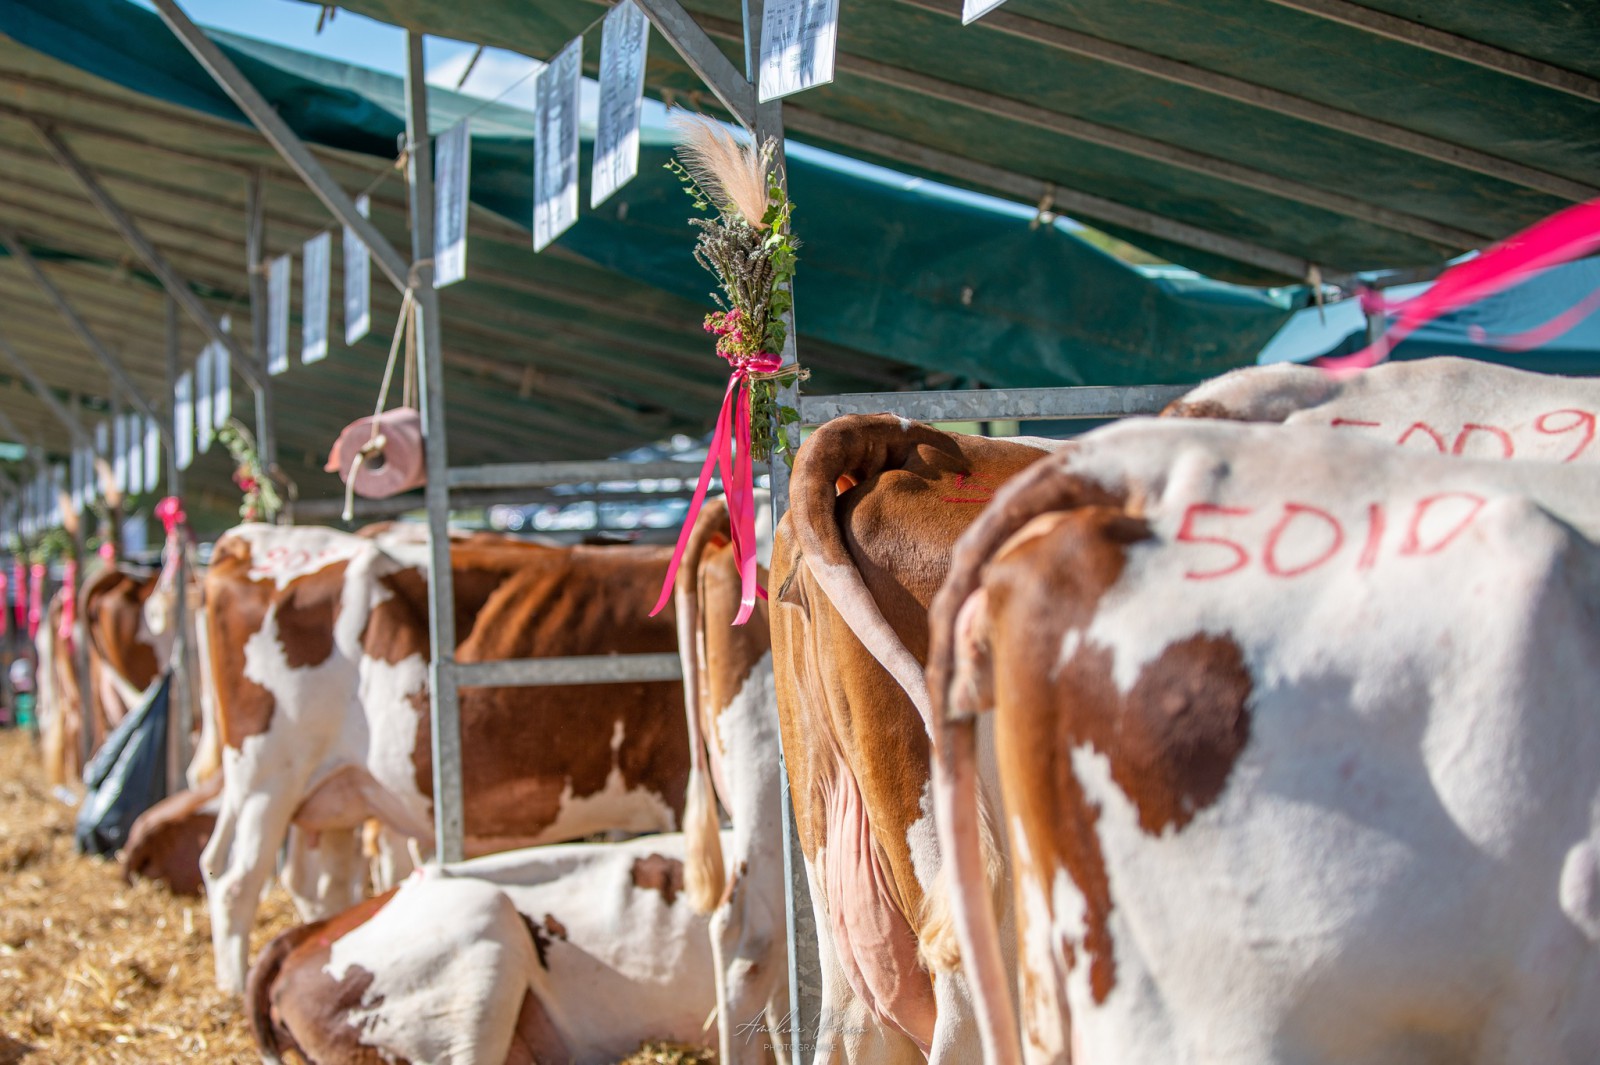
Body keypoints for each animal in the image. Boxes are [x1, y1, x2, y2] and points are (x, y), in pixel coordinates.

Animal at [200, 521, 688, 985]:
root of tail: (251, 540)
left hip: (332, 791)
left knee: (313, 882)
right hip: (267, 777)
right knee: (235, 883)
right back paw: (234, 990)